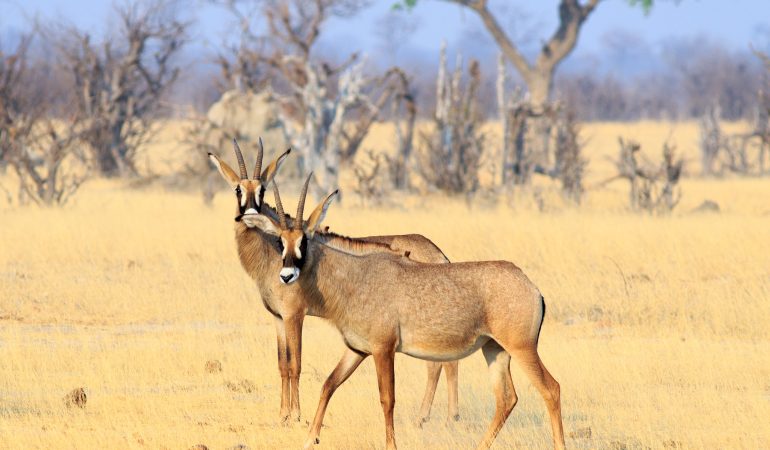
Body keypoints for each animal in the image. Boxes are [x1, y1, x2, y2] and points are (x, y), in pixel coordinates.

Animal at [208, 140, 460, 426]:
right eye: (238, 188)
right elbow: (282, 364)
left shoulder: (295, 315)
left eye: (262, 189)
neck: (272, 253)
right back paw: (436, 416)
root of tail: (439, 255)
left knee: (441, 363)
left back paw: (438, 417)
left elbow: (295, 364)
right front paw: (282, 415)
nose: (249, 214)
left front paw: (295, 415)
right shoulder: (277, 317)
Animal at [247, 181, 566, 450]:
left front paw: (391, 445)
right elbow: (329, 384)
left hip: (522, 348)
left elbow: (387, 399)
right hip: (495, 350)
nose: (287, 275)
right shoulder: (357, 350)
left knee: (551, 388)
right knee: (506, 398)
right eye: (280, 241)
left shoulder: (383, 349)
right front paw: (310, 437)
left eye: (304, 241)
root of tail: (532, 288)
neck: (356, 276)